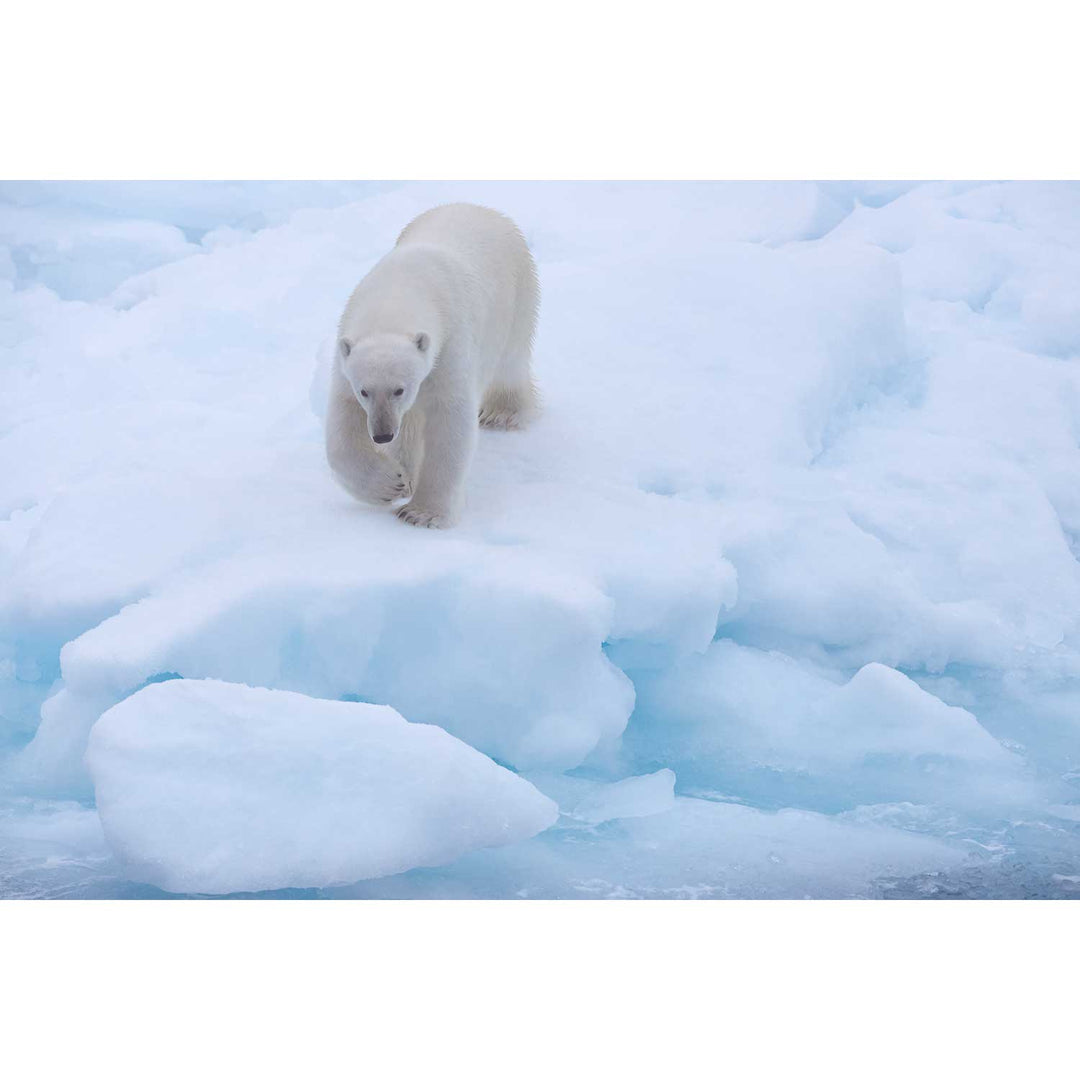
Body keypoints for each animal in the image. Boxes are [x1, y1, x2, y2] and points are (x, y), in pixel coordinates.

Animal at [321, 203, 537, 527]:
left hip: (516, 296)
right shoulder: (346, 353)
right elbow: (342, 425)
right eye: (364, 392)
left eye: (400, 389)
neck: (395, 299)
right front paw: (390, 483)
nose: (382, 434)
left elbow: (450, 421)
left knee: (510, 363)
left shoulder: (449, 345)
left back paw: (501, 413)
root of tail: (481, 208)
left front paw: (420, 513)